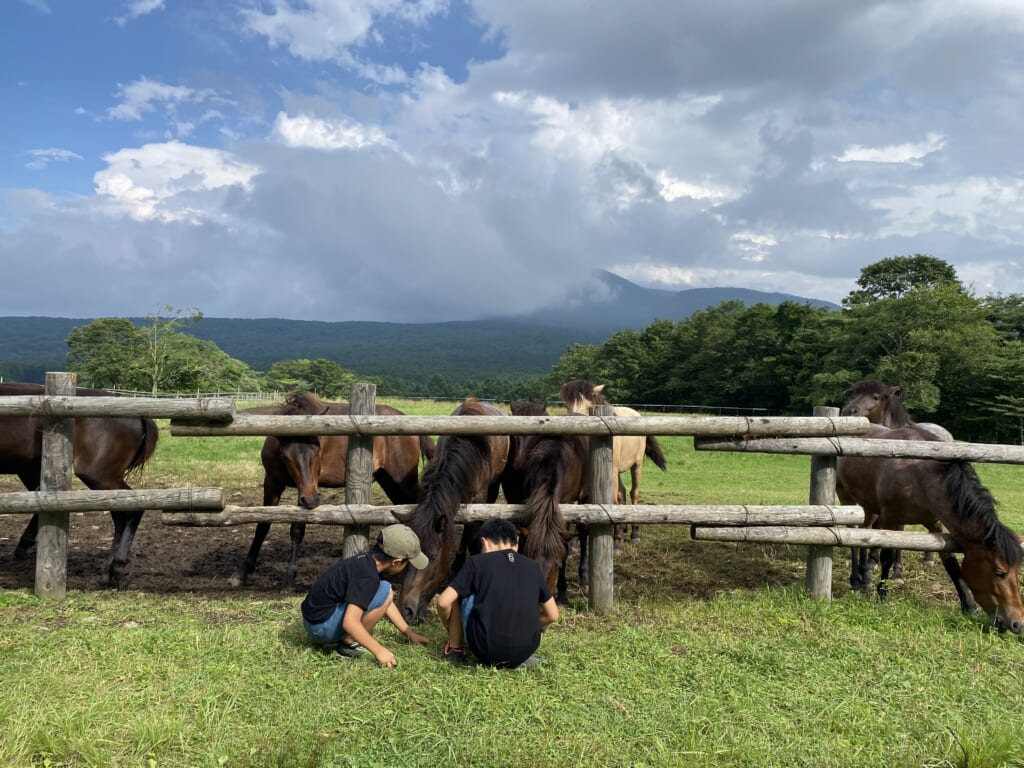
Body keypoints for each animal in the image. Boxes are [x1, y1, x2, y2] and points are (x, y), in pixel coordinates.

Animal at [230, 391, 434, 589]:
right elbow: (262, 526)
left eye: (318, 450)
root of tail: (404, 418)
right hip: (390, 482)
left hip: (402, 482)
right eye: (285, 455)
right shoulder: (274, 483)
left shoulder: (305, 489)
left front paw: (289, 578)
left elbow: (297, 530)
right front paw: (242, 572)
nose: (312, 500)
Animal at [557, 378, 667, 548]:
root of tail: (636, 413)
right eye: (567, 406)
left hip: (635, 466)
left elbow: (612, 501)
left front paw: (616, 541)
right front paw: (575, 541)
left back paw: (634, 533)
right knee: (622, 493)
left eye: (588, 406)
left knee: (633, 493)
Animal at [839, 423, 1024, 634]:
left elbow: (951, 563)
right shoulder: (889, 519)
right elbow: (887, 557)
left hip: (869, 506)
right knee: (853, 536)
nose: (1017, 624)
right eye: (1000, 572)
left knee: (865, 532)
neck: (920, 476)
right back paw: (856, 579)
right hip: (847, 499)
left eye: (1017, 571)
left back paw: (866, 578)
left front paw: (969, 607)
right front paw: (883, 594)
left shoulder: (937, 523)